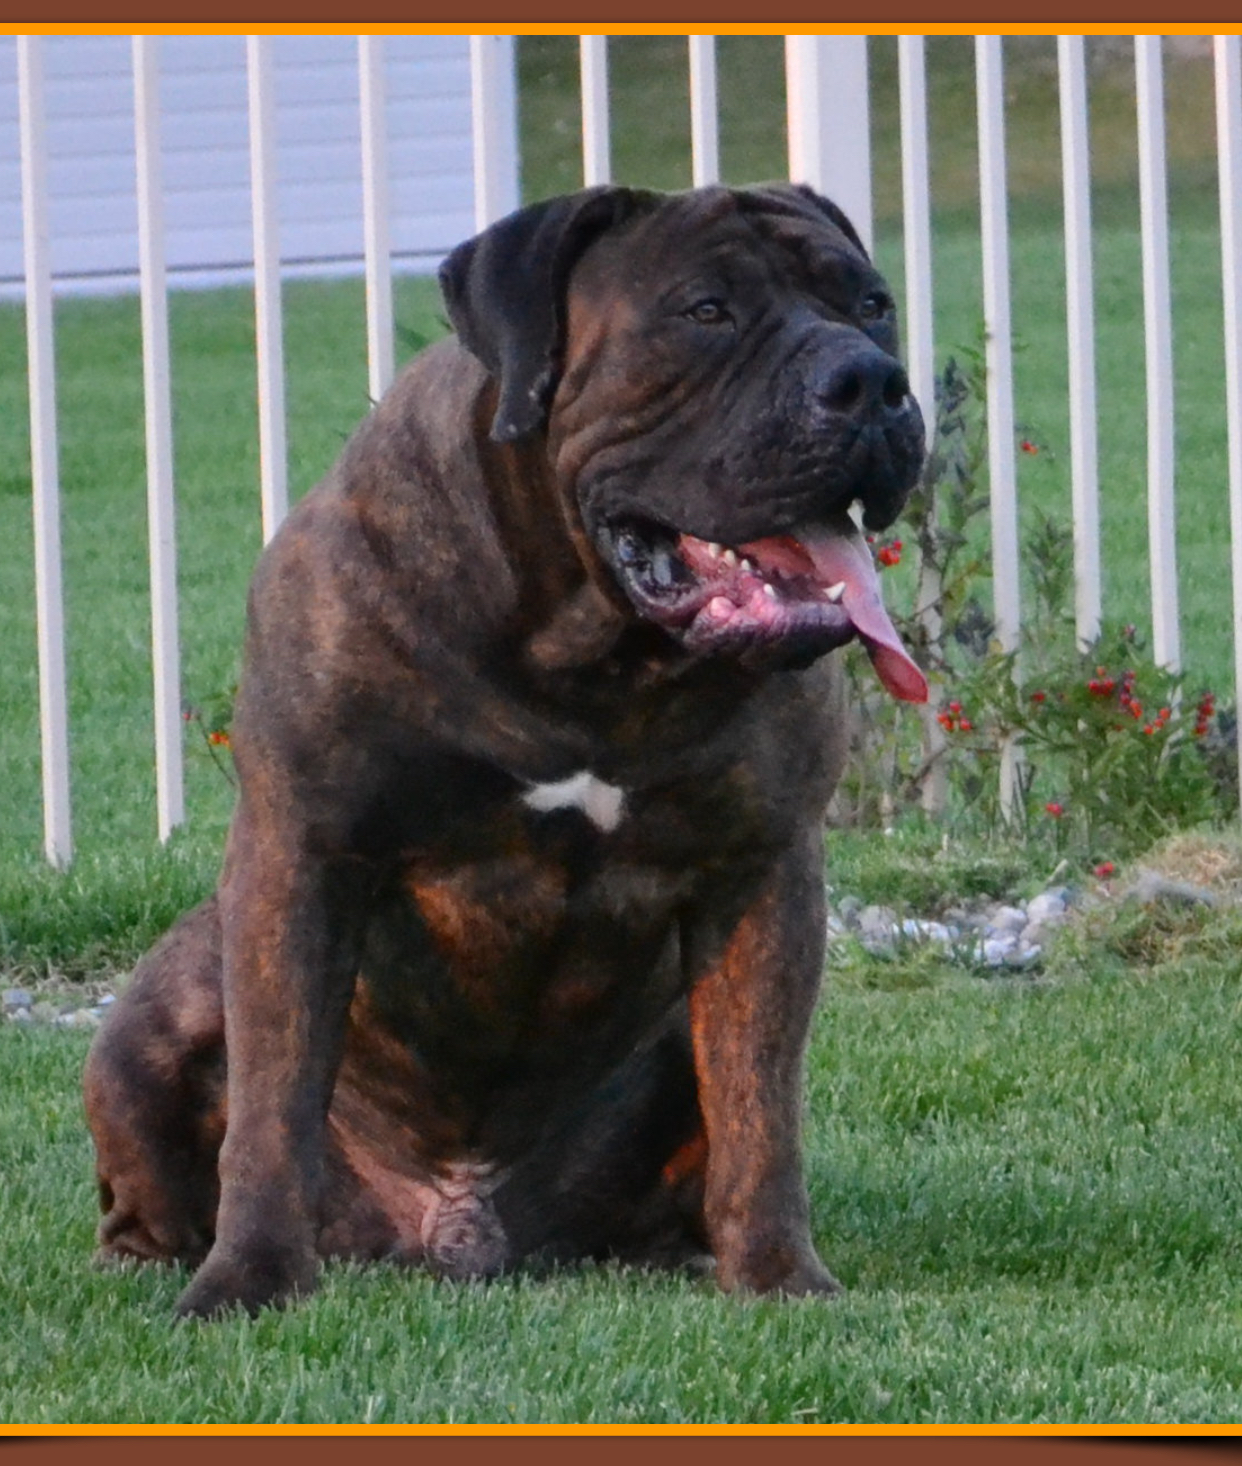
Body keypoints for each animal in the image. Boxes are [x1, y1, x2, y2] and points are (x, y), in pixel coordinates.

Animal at [82, 183, 926, 1319]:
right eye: (705, 311)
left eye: (874, 304)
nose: (870, 379)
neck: (587, 646)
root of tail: (453, 1231)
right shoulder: (304, 850)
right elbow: (272, 1101)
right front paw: (247, 1280)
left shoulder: (761, 870)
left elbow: (760, 1104)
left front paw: (780, 1277)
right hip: (148, 1020)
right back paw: (153, 1256)